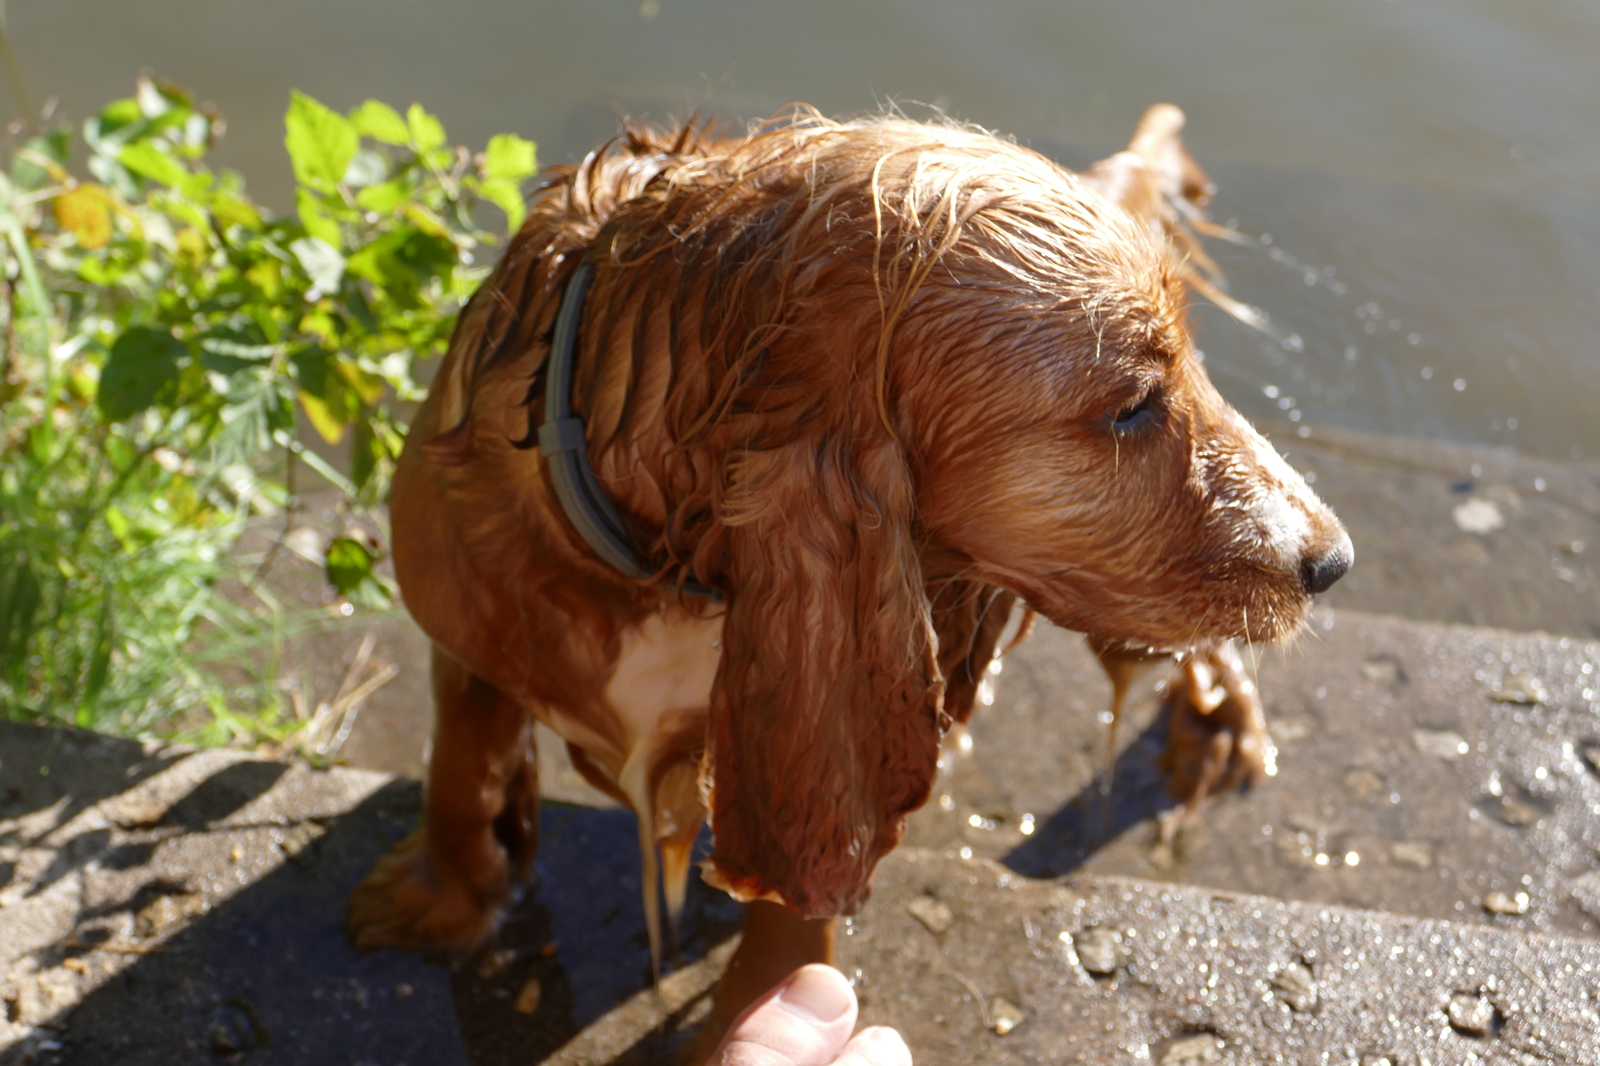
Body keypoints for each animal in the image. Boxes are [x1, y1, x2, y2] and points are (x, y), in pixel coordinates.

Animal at [347, 101, 1350, 1043]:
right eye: (1134, 406)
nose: (1334, 560)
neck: (660, 563)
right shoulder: (468, 625)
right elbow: (461, 772)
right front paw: (444, 905)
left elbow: (796, 913)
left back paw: (1219, 729)